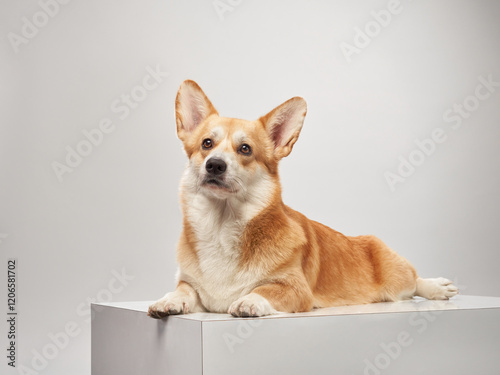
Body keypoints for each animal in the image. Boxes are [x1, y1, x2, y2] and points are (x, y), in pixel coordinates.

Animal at [147, 81, 458, 318]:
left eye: (245, 149)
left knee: (415, 282)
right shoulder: (192, 284)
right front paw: (168, 300)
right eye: (206, 144)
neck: (222, 225)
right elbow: (184, 289)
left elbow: (265, 289)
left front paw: (250, 300)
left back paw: (438, 287)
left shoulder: (295, 288)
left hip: (396, 277)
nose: (214, 165)